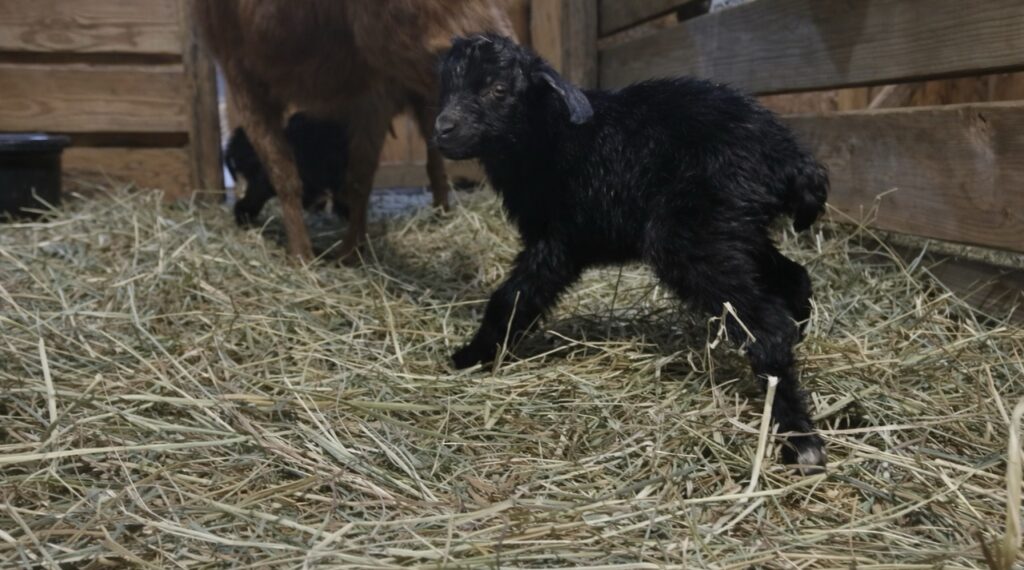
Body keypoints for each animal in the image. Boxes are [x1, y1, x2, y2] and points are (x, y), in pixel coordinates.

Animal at [193, 1, 514, 261]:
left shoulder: (374, 93)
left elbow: (359, 178)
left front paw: (348, 252)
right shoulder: (243, 82)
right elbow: (284, 175)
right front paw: (303, 256)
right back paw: (440, 213)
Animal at [435, 34, 829, 473]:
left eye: (498, 90)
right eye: (446, 86)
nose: (442, 129)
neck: (550, 136)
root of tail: (790, 159)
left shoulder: (558, 242)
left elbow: (510, 299)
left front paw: (471, 355)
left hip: (692, 234)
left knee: (767, 327)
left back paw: (800, 440)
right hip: (733, 231)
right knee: (793, 277)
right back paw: (801, 339)